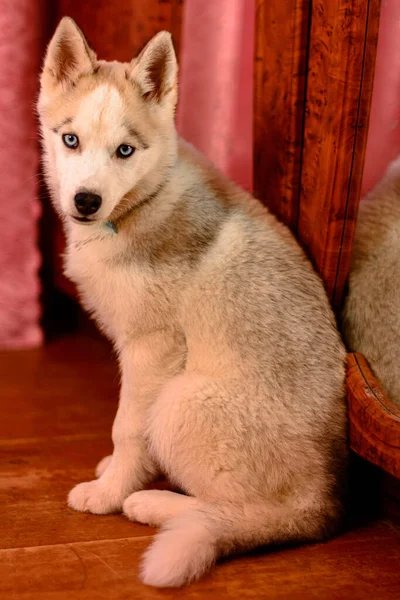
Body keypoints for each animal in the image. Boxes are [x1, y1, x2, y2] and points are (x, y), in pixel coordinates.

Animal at [38, 17, 346, 584]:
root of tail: (325, 507)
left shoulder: (152, 349)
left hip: (181, 399)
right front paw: (122, 474)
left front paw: (112, 492)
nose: (85, 202)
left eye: (125, 151)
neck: (140, 204)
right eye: (70, 139)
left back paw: (151, 504)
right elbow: (125, 434)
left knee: (243, 511)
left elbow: (126, 428)